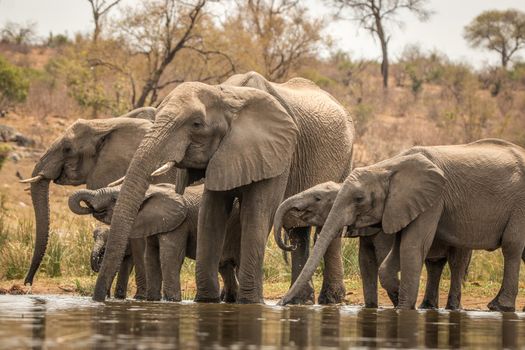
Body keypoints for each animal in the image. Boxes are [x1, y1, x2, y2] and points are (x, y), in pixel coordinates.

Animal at [68, 183, 241, 300]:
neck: (153, 189)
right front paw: (152, 300)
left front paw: (171, 301)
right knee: (225, 267)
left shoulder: (179, 223)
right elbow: (150, 258)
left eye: (115, 198)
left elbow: (169, 257)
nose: (89, 206)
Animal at [93, 69, 356, 302]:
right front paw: (206, 300)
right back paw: (300, 300)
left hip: (346, 159)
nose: (99, 298)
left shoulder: (279, 152)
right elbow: (211, 212)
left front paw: (250, 302)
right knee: (298, 232)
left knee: (327, 227)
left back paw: (330, 300)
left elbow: (257, 212)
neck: (228, 95)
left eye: (196, 124)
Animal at [274, 180, 470, 308]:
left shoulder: (385, 231)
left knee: (456, 264)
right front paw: (370, 307)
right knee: (434, 265)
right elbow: (365, 262)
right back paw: (427, 307)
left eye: (317, 198)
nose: (279, 303)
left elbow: (381, 257)